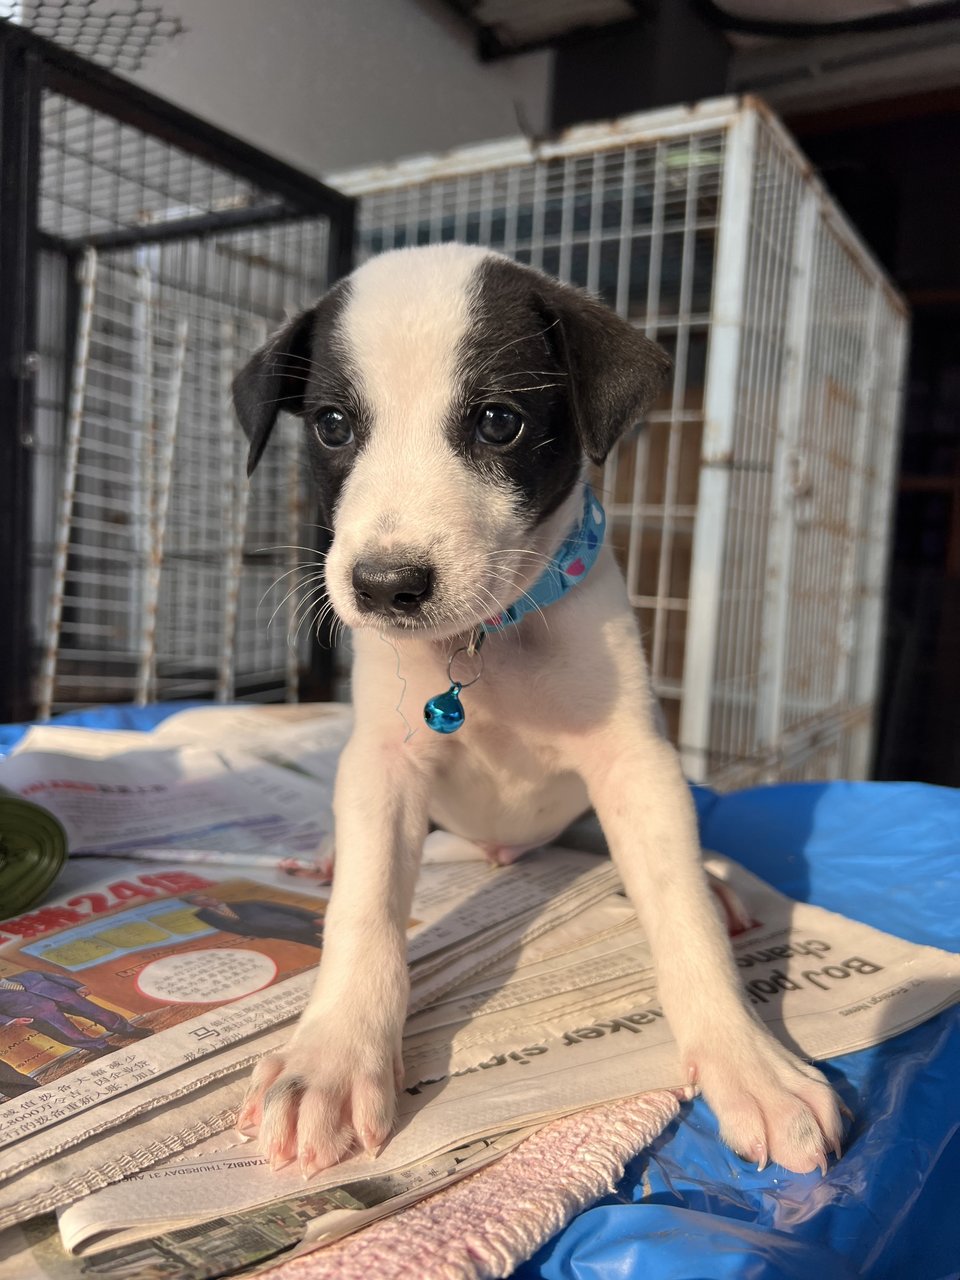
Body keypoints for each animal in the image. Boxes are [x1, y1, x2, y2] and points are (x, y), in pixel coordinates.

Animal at [231, 241, 839, 1177]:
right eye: (332, 426)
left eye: (497, 422)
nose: (386, 586)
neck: (490, 641)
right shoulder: (384, 764)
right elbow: (365, 913)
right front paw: (329, 1059)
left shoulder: (636, 766)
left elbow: (682, 918)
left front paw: (748, 1061)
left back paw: (718, 878)